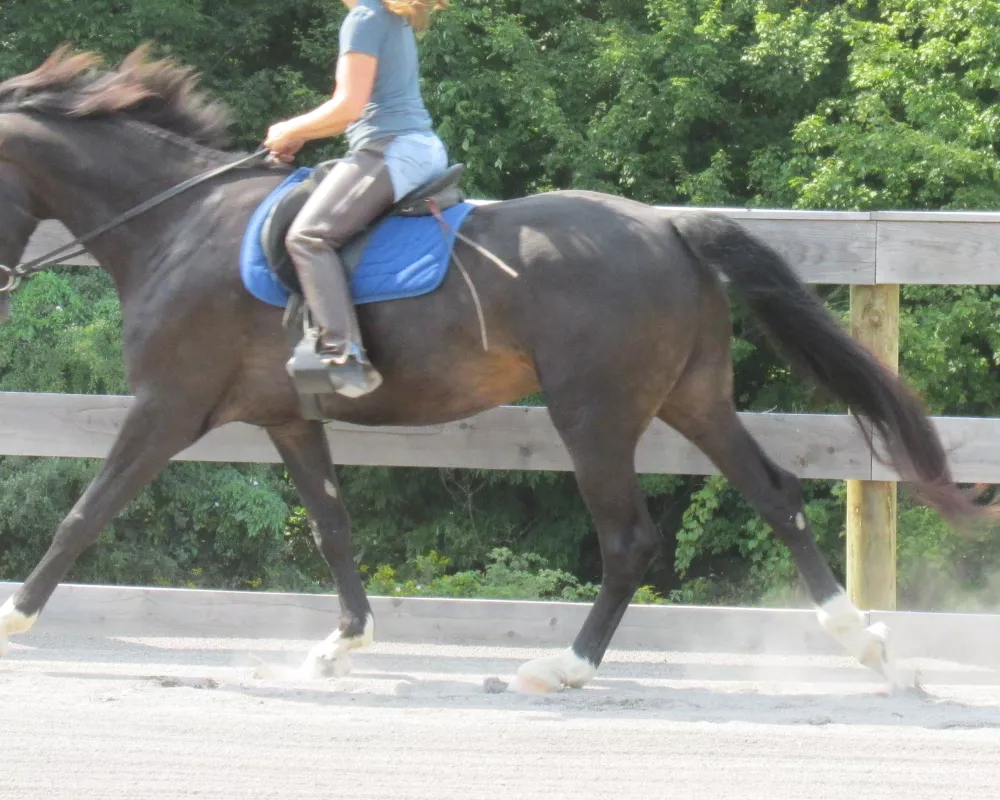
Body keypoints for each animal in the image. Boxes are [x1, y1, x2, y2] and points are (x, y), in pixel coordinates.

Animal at [0, 45, 984, 692]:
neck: (171, 224)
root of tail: (667, 226)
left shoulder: (166, 407)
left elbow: (83, 514)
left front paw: (14, 618)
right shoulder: (287, 417)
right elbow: (333, 529)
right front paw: (342, 644)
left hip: (593, 415)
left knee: (630, 540)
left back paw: (563, 667)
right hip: (692, 398)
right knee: (775, 495)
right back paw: (863, 644)